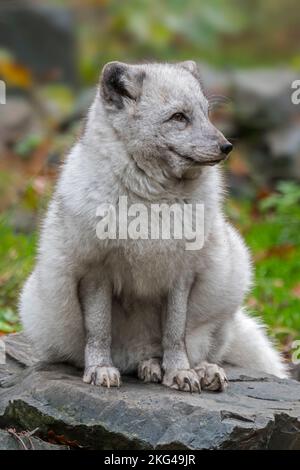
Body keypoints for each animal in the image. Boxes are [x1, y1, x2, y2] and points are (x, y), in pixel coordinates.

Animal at [19, 62, 288, 392]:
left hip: (232, 277)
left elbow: (174, 334)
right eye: (179, 117)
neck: (153, 204)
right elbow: (99, 330)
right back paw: (148, 367)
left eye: (206, 114)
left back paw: (199, 370)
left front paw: (180, 372)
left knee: (198, 349)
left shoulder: (181, 275)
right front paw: (100, 369)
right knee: (134, 358)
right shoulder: (95, 272)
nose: (227, 146)